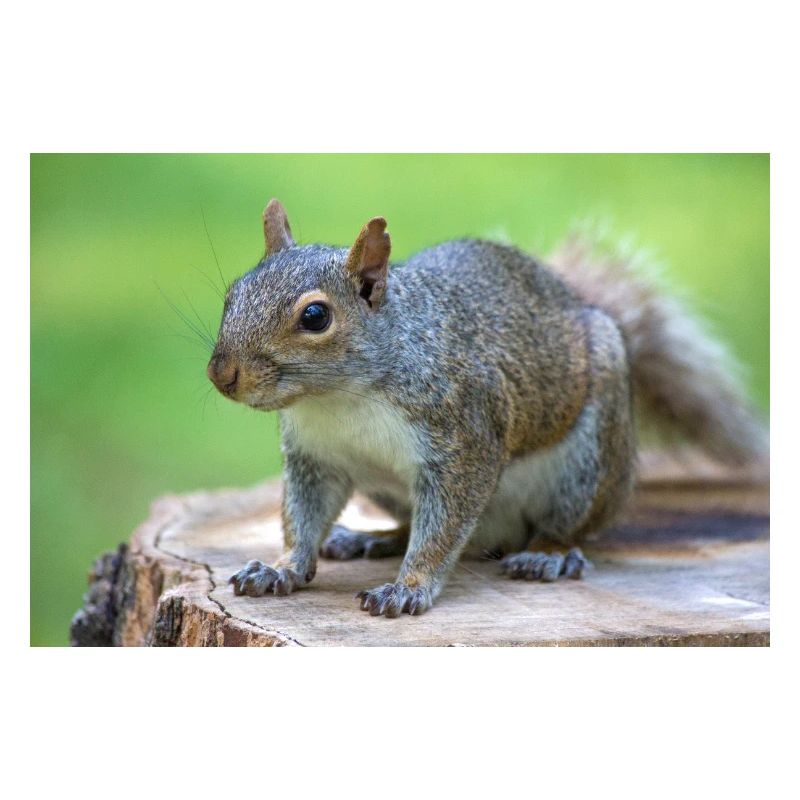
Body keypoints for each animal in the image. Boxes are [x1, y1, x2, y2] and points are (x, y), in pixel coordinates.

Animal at [207, 199, 767, 617]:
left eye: (316, 316)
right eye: (234, 292)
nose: (221, 374)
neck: (338, 399)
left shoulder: (464, 437)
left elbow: (443, 526)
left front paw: (409, 588)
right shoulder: (316, 457)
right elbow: (303, 516)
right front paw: (281, 567)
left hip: (590, 462)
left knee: (567, 527)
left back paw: (545, 556)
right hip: (386, 488)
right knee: (413, 523)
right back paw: (373, 539)